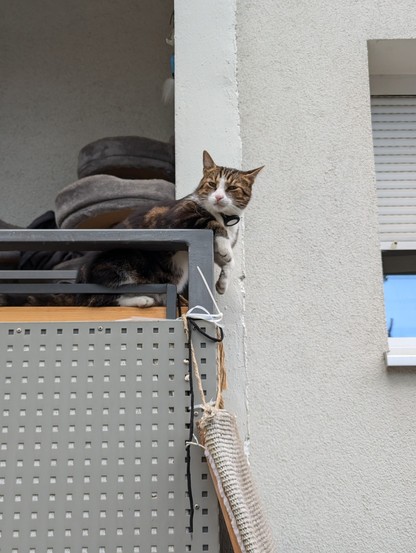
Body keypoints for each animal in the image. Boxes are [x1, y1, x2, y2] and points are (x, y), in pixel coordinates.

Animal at [4, 151, 264, 306]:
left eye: (231, 188)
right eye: (211, 184)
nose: (218, 197)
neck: (226, 217)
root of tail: (78, 281)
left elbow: (226, 262)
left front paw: (222, 282)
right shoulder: (173, 218)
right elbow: (210, 224)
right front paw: (225, 249)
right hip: (121, 265)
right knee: (100, 299)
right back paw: (142, 299)